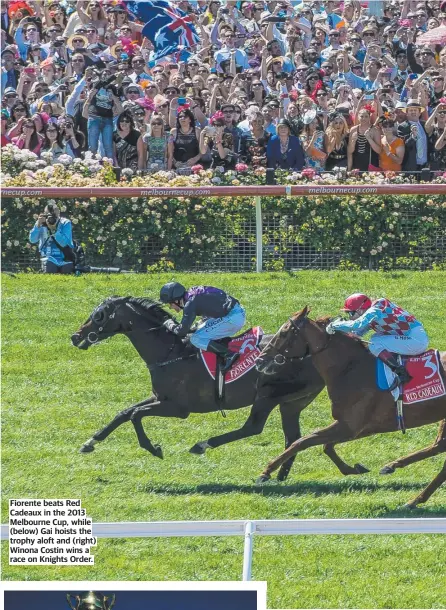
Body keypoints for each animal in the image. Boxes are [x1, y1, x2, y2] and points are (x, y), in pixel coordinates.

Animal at [70, 296, 366, 478]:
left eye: (99, 315)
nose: (75, 336)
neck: (170, 351)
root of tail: (315, 351)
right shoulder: (159, 396)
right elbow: (123, 413)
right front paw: (89, 442)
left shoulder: (177, 407)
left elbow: (134, 415)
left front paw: (153, 448)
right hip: (292, 402)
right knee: (292, 437)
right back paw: (280, 474)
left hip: (270, 394)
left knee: (253, 428)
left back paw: (203, 445)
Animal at [254, 304, 446, 508]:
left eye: (284, 332)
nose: (259, 360)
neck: (349, 368)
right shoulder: (358, 428)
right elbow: (326, 446)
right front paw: (355, 468)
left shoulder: (350, 426)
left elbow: (302, 441)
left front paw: (266, 472)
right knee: (439, 447)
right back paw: (401, 482)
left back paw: (409, 492)